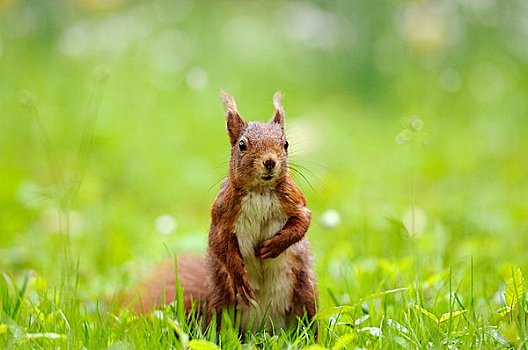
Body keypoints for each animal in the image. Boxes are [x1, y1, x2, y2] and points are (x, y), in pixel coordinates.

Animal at [130, 91, 316, 332]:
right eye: (242, 145)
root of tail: (261, 328)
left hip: (306, 295)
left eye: (285, 144)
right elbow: (219, 242)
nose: (269, 162)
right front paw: (239, 275)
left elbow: (302, 220)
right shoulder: (222, 213)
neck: (260, 190)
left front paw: (274, 246)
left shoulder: (293, 198)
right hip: (220, 300)